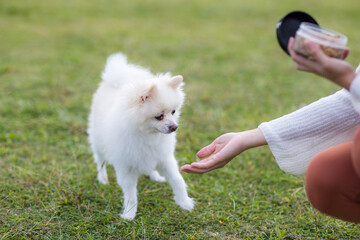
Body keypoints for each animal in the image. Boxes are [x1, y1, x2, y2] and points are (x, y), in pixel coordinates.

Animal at [87, 53, 194, 220]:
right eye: (159, 116)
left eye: (173, 112)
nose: (174, 127)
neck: (148, 135)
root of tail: (114, 79)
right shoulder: (126, 166)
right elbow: (131, 194)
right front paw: (129, 214)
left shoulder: (163, 157)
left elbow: (177, 180)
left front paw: (184, 202)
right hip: (98, 143)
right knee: (100, 161)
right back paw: (102, 179)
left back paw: (155, 176)